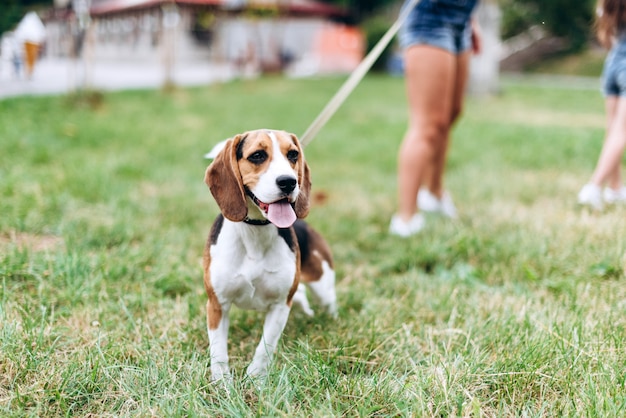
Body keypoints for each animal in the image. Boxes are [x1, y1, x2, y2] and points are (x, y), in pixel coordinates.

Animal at [202, 129, 336, 380]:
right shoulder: (217, 304)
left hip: (322, 284)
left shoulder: (280, 305)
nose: (289, 182)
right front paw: (222, 382)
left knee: (328, 302)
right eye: (257, 156)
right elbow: (218, 352)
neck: (255, 231)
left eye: (293, 154)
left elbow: (265, 348)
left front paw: (256, 378)